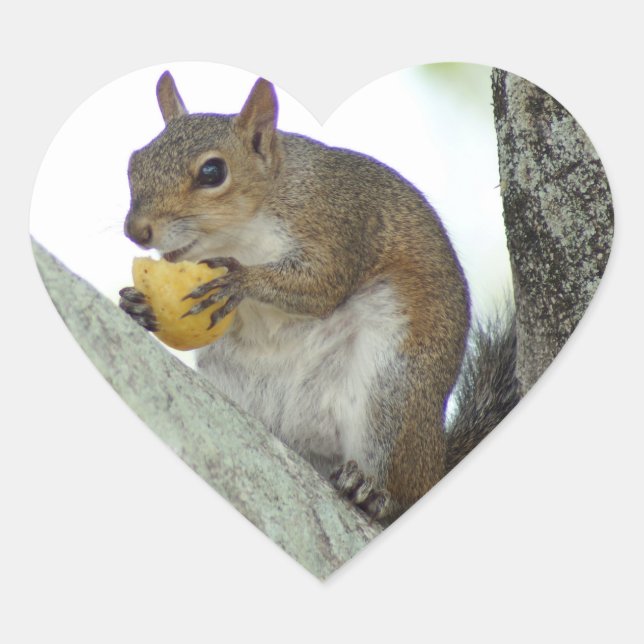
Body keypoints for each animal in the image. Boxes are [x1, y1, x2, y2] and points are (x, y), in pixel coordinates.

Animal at [119, 71, 520, 523]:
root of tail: (435, 464)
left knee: (401, 483)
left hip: (395, 393)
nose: (137, 231)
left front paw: (240, 280)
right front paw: (139, 305)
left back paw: (372, 491)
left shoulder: (338, 224)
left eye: (212, 171)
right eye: (134, 162)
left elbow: (321, 285)